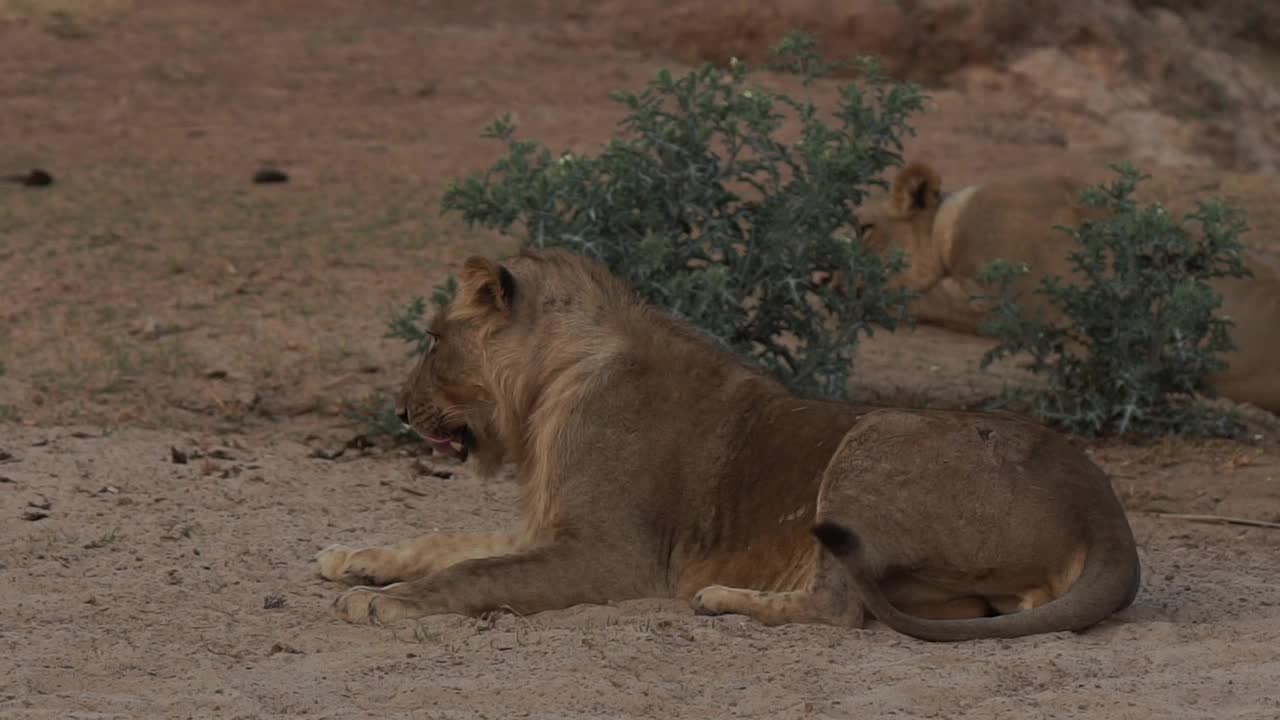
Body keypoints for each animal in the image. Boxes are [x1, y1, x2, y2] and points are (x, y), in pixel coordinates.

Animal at [317, 244, 1141, 638]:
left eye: (432, 340)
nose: (397, 409)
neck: (551, 385)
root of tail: (1104, 509)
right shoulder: (545, 526)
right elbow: (447, 540)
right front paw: (353, 558)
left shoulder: (613, 556)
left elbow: (476, 571)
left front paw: (386, 602)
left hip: (874, 438)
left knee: (839, 608)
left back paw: (721, 600)